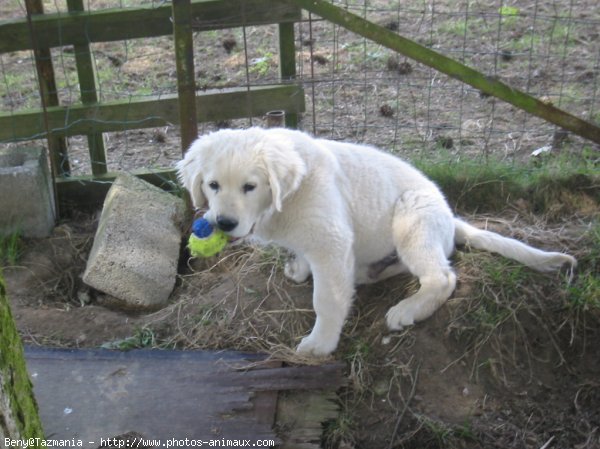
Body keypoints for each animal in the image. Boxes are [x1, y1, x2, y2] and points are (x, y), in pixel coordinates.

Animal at [177, 128, 576, 356]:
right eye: (213, 185)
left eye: (250, 186)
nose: (224, 223)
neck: (287, 197)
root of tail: (450, 218)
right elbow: (307, 259)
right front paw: (298, 269)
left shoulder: (332, 240)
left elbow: (327, 299)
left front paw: (320, 344)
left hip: (412, 219)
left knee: (443, 276)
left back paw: (408, 309)